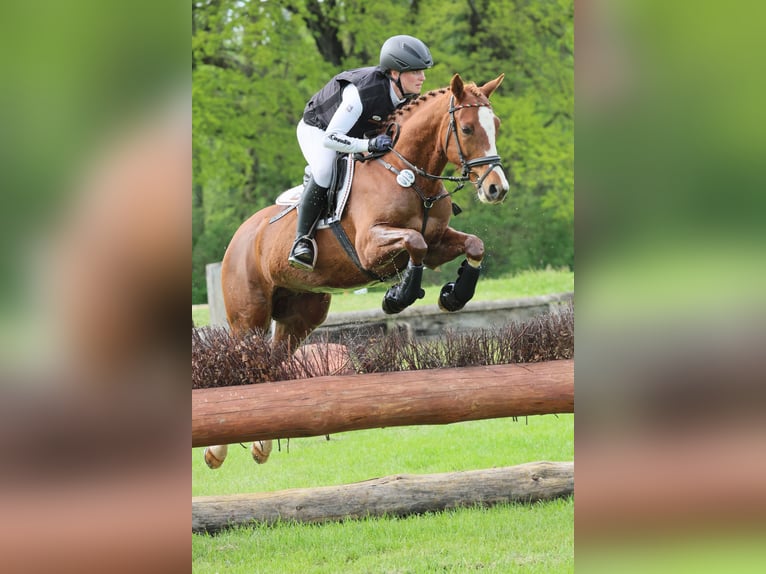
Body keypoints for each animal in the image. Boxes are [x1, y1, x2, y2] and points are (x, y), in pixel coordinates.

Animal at [206, 72, 510, 470]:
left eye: (497, 126)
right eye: (468, 127)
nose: (496, 189)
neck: (410, 174)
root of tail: (240, 236)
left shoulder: (439, 243)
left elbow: (472, 245)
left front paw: (454, 295)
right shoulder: (370, 247)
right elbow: (415, 242)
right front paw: (398, 296)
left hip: (300, 316)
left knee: (269, 364)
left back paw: (261, 444)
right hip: (248, 317)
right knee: (242, 363)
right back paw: (216, 450)